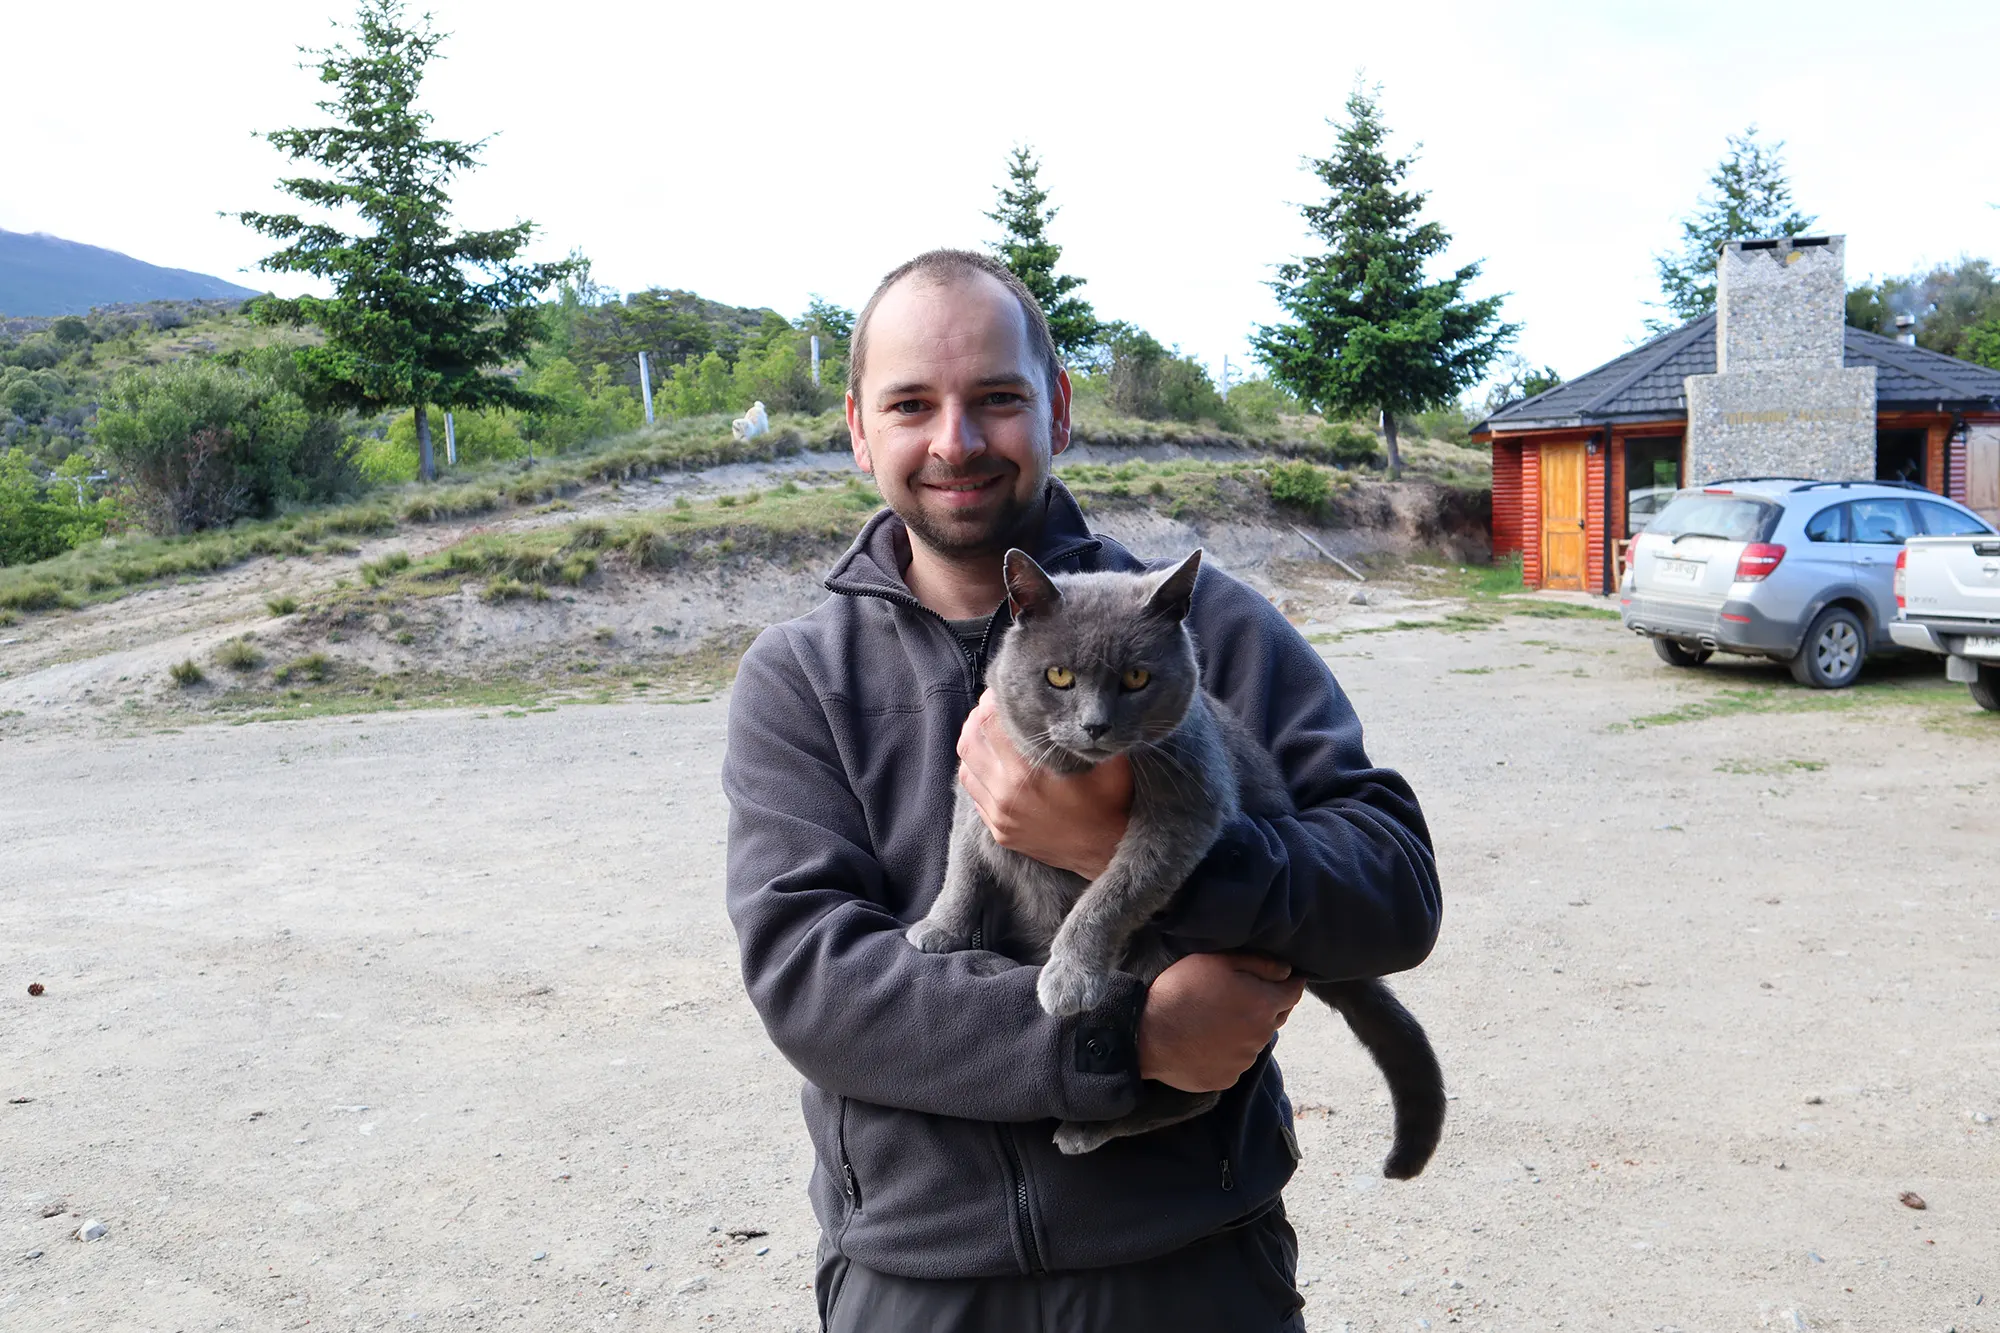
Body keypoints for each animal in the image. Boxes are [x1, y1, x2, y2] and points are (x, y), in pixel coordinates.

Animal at [904, 544, 1440, 1168]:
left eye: (1137, 677)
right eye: (1059, 676)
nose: (1095, 725)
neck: (1073, 770)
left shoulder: (1183, 814)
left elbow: (1109, 896)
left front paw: (1069, 976)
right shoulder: (974, 784)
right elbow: (962, 865)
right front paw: (938, 930)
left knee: (1195, 1095)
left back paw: (1085, 1128)